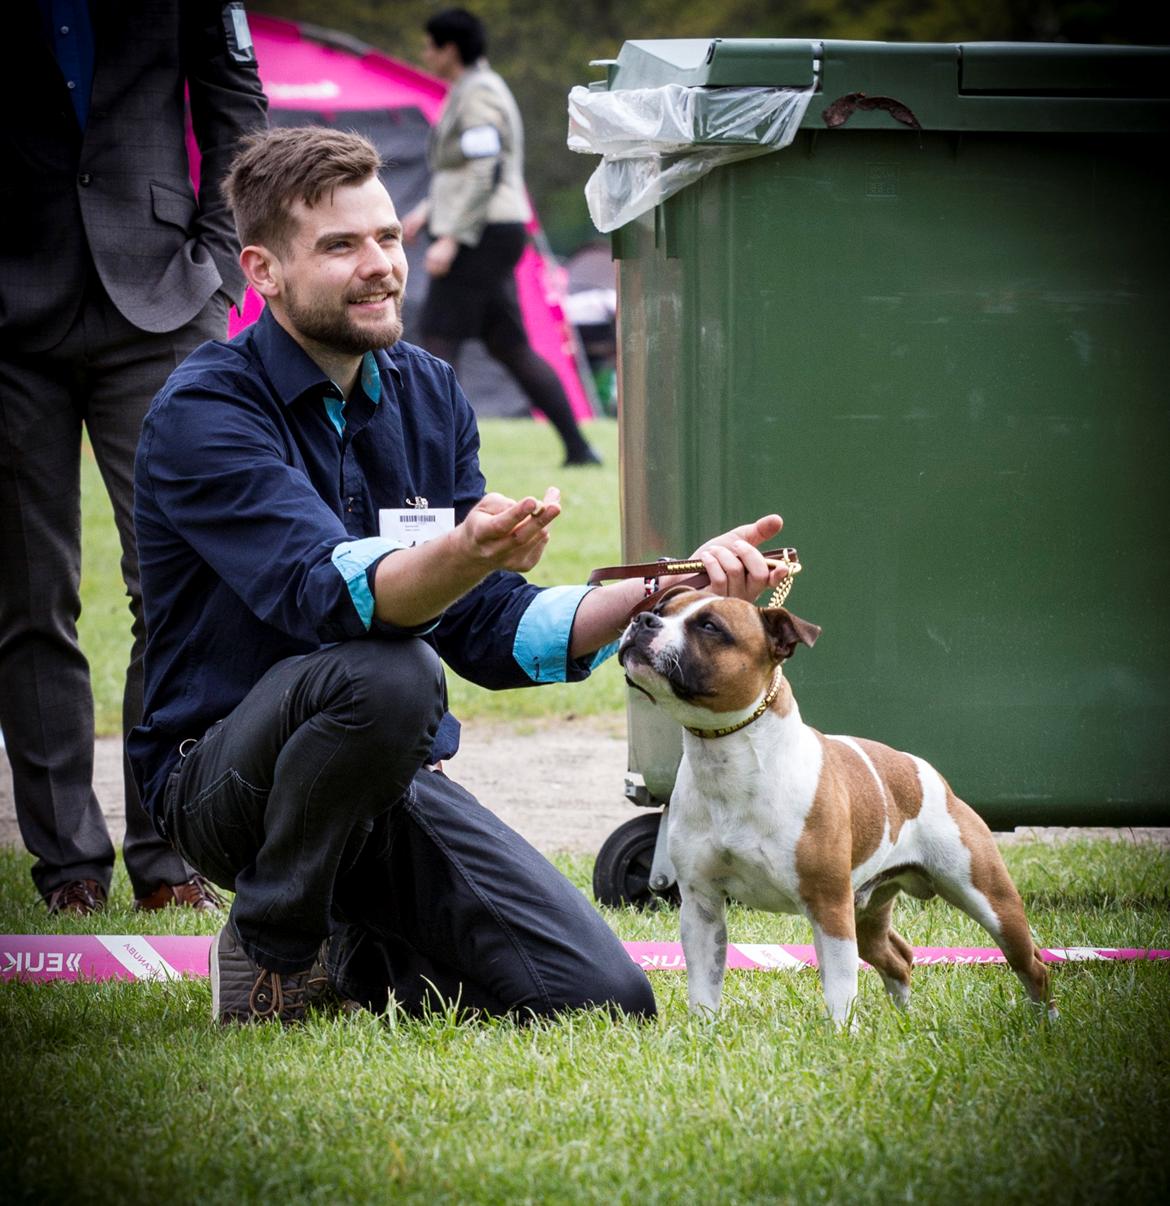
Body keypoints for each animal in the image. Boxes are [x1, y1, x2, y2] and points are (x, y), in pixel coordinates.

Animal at [615, 586, 1051, 1027]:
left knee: (1032, 963)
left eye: (709, 626)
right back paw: (903, 1019)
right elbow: (704, 983)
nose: (643, 621)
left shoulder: (829, 907)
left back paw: (1046, 1022)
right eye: (660, 609)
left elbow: (840, 987)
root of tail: (923, 770)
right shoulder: (701, 906)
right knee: (899, 957)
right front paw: (703, 1030)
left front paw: (842, 1033)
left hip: (987, 898)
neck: (730, 757)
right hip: (868, 912)